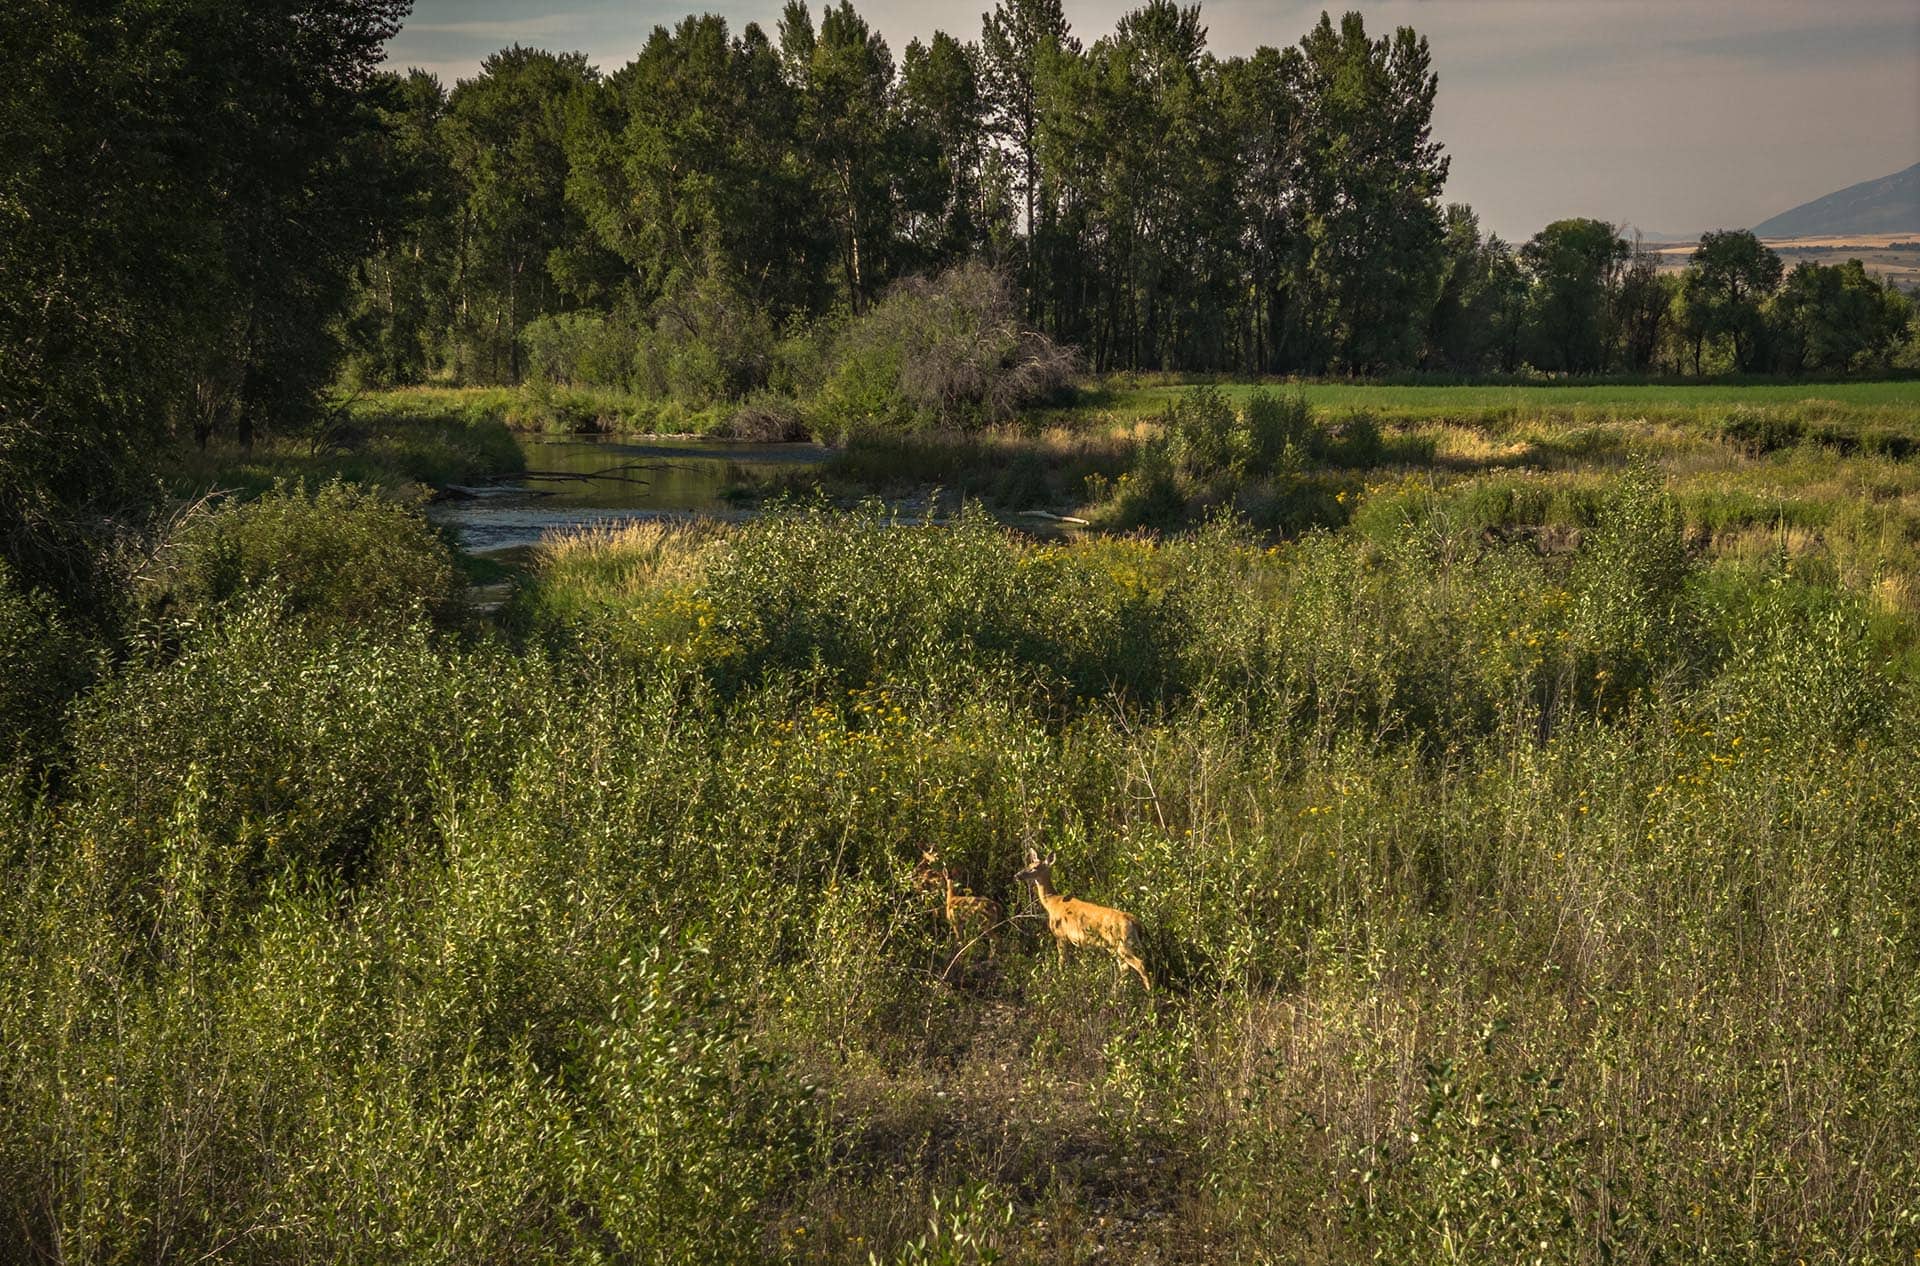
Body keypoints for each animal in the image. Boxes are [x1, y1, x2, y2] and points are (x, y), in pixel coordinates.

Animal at [1014, 848, 1151, 991]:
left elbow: (1061, 962)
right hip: (1116, 945)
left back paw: (1149, 993)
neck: (1053, 903)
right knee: (1124, 968)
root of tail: (1134, 921)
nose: (1017, 875)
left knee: (1139, 964)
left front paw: (1059, 981)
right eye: (1028, 864)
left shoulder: (1060, 935)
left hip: (1122, 942)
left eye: (1034, 868)